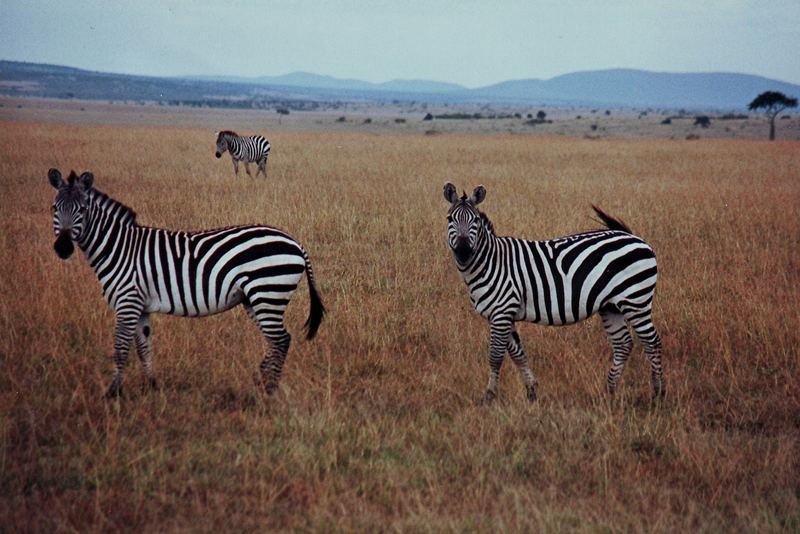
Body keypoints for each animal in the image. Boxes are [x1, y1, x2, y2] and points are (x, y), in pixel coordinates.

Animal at [48, 170, 324, 400]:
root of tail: (296, 242)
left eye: (82, 209)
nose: (62, 248)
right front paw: (152, 387)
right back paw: (260, 383)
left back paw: (268, 390)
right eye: (54, 208)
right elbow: (144, 347)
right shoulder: (141, 306)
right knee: (276, 341)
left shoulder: (127, 302)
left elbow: (121, 349)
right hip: (255, 299)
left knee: (280, 340)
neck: (119, 248)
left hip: (268, 293)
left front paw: (112, 393)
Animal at [444, 182, 664, 404]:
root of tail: (635, 238)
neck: (491, 261)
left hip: (635, 300)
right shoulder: (504, 314)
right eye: (449, 219)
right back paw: (608, 392)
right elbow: (518, 354)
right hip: (611, 306)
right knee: (623, 345)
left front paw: (489, 396)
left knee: (652, 342)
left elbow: (496, 356)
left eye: (475, 220)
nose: (463, 251)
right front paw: (532, 392)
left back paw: (658, 394)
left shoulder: (502, 311)